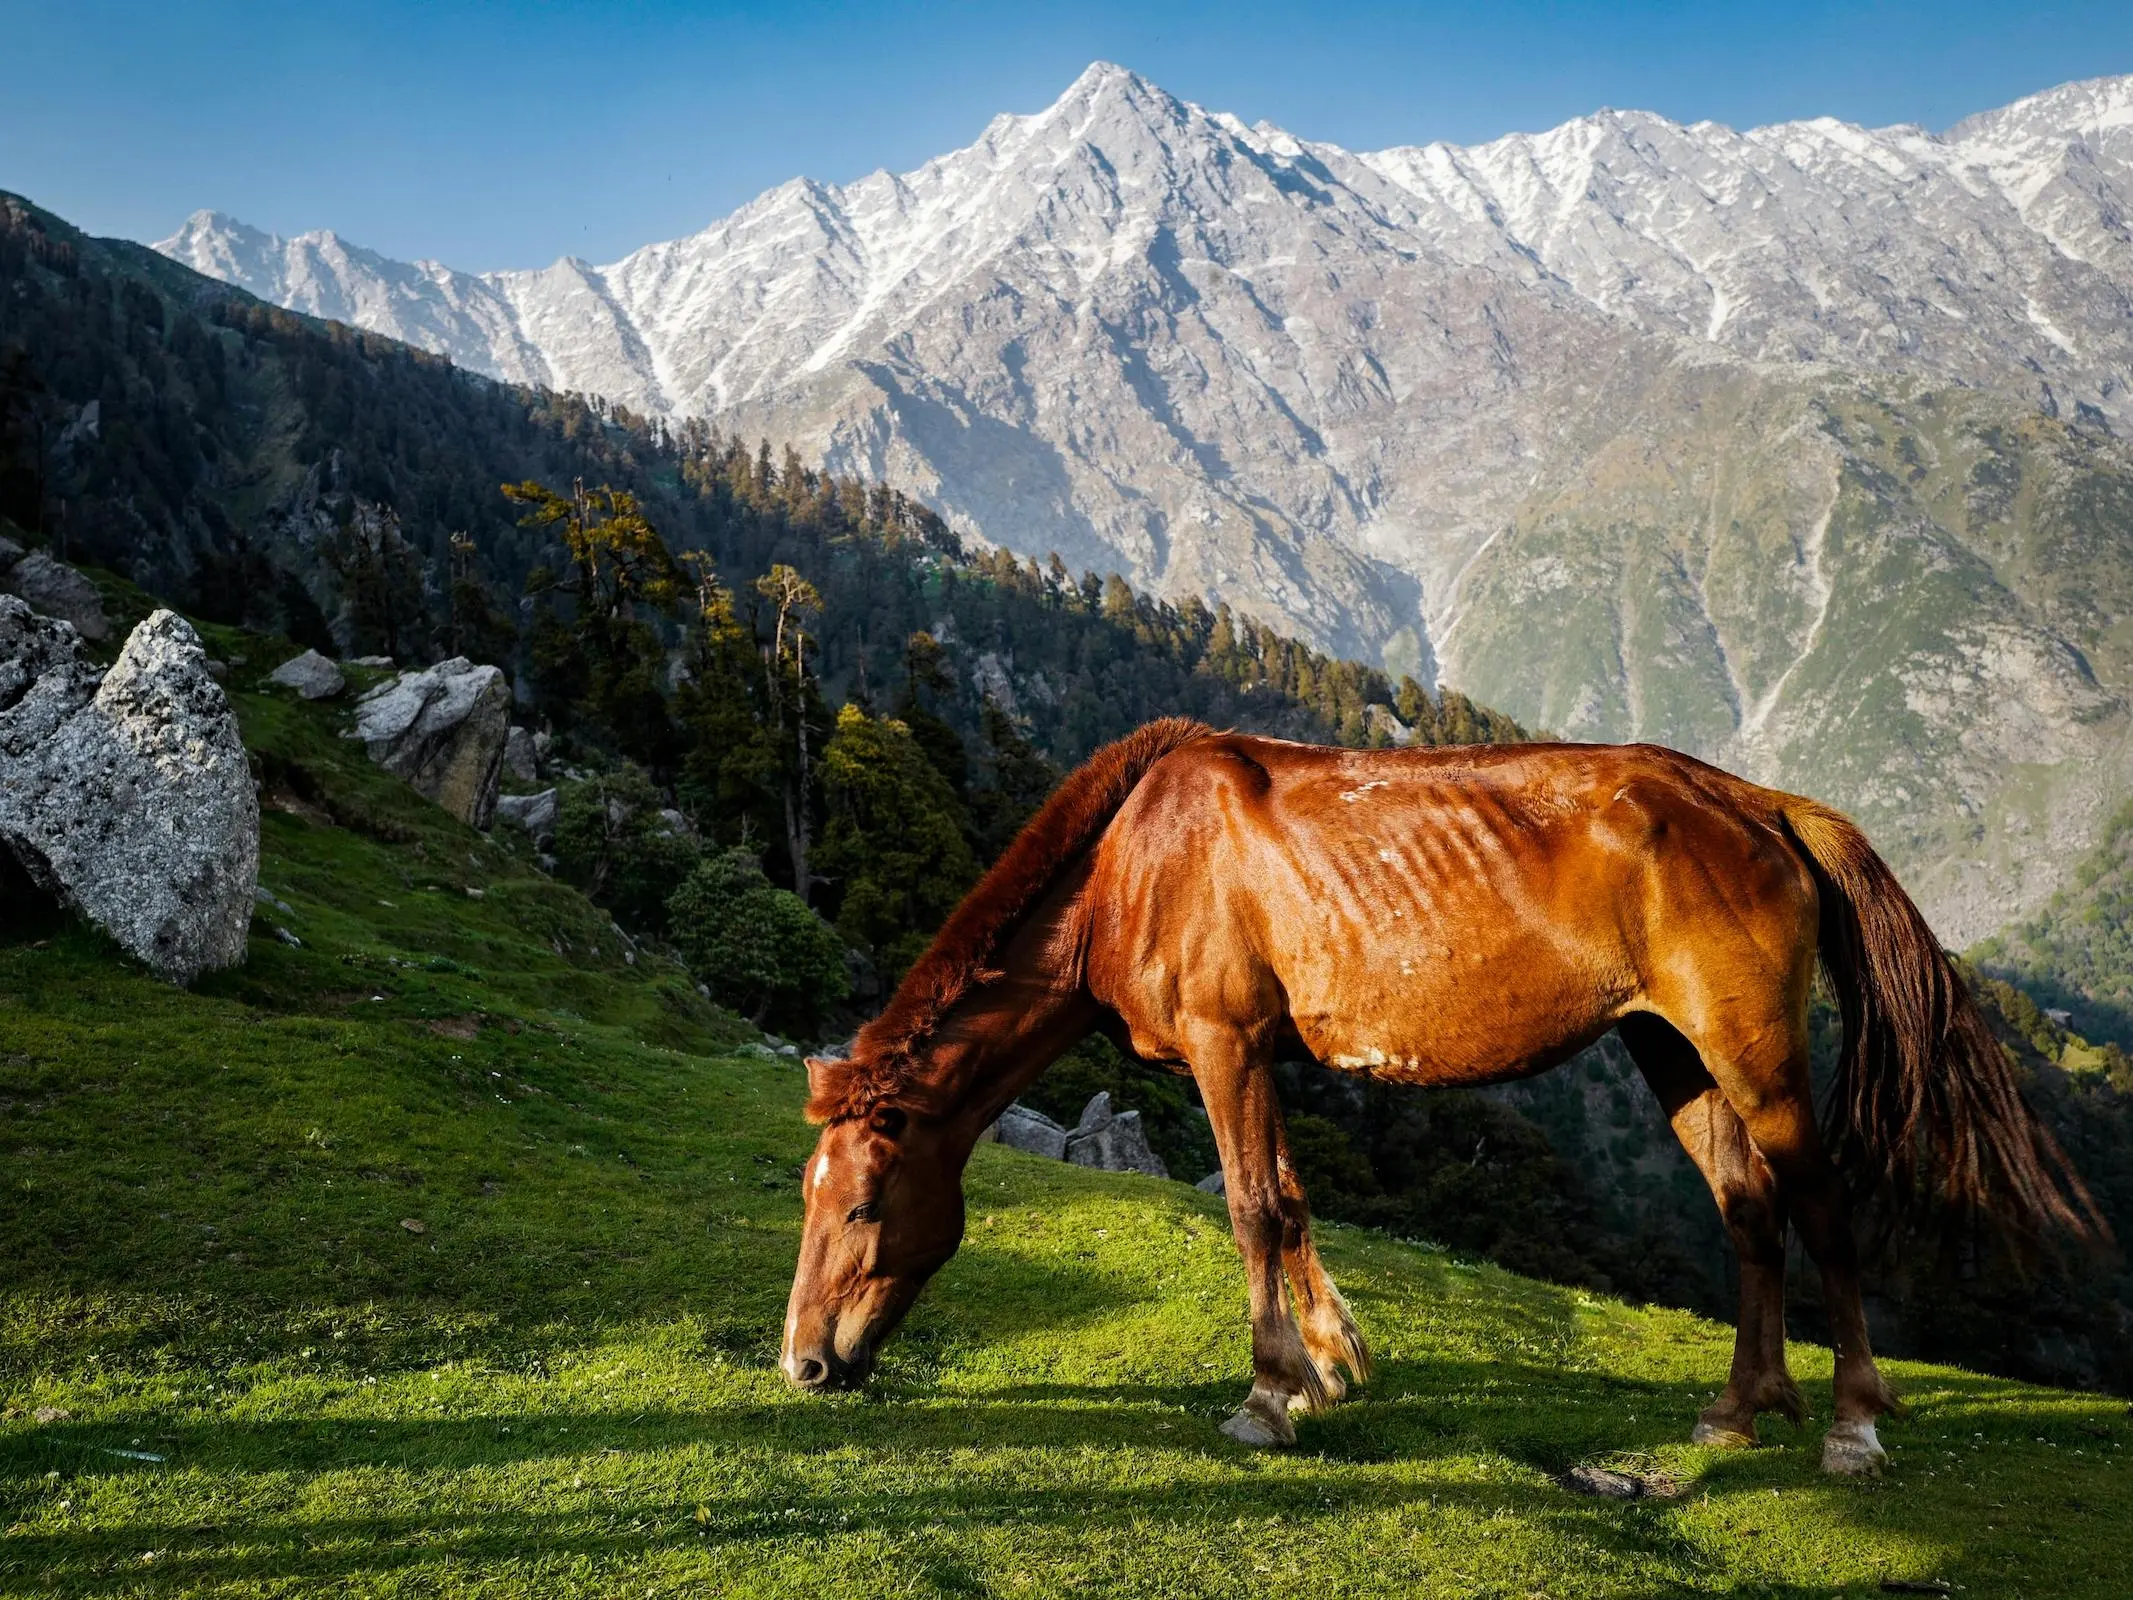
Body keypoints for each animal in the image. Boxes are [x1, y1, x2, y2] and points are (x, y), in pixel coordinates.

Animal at [784, 725, 2098, 1476]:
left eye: (860, 1208)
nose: (803, 1365)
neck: (1136, 860)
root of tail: (1763, 803)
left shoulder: (1226, 1044)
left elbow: (1252, 1210)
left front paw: (1265, 1398)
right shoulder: (1258, 1052)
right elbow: (1292, 1203)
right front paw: (1327, 1368)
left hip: (1753, 1049)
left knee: (1820, 1207)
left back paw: (1849, 1423)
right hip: (1672, 1051)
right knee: (1748, 1210)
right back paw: (1738, 1409)